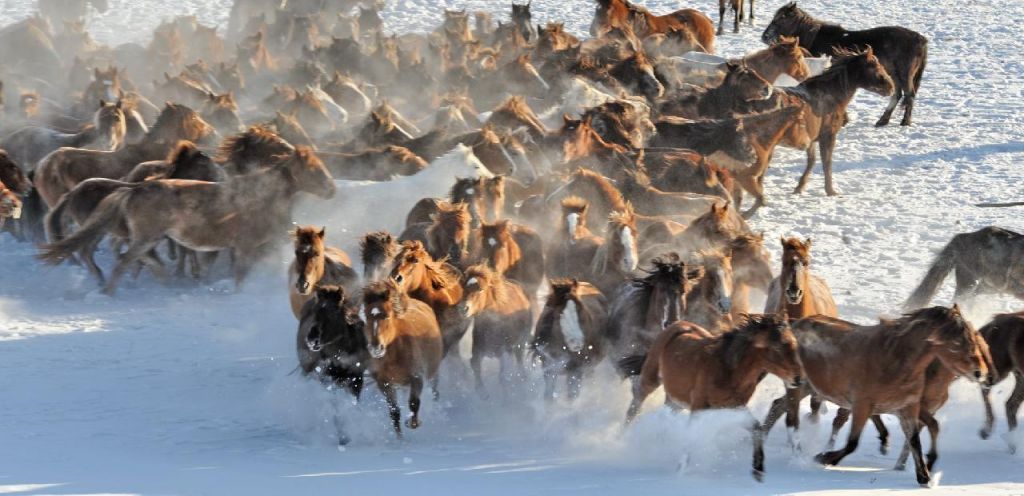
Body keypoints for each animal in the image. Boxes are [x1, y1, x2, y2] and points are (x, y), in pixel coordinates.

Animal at [37, 148, 335, 294]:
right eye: (313, 169)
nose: (332, 189)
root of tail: (133, 190)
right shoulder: (245, 247)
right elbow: (240, 275)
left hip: (147, 239)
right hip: (145, 238)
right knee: (123, 261)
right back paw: (109, 291)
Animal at [361, 280, 443, 438]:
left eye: (386, 316)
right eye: (367, 317)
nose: (376, 348)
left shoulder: (417, 378)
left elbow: (414, 403)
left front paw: (412, 423)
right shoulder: (385, 384)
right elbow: (394, 412)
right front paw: (400, 438)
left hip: (433, 371)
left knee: (435, 391)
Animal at [457, 264, 533, 394]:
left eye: (481, 289)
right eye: (464, 289)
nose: (463, 309)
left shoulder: (506, 351)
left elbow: (503, 376)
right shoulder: (477, 351)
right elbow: (476, 369)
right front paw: (482, 392)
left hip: (520, 343)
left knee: (519, 361)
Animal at [622, 313, 802, 481]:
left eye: (794, 345)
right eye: (777, 348)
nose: (798, 379)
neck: (728, 371)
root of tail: (675, 325)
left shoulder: (736, 408)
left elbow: (757, 428)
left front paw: (758, 471)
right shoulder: (699, 407)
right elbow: (691, 436)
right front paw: (680, 470)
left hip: (676, 400)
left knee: (664, 413)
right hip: (650, 380)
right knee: (634, 406)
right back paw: (623, 438)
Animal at [762, 2, 927, 126]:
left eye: (781, 18)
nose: (765, 37)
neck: (814, 37)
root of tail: (921, 39)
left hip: (904, 74)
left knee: (909, 95)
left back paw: (905, 122)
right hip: (894, 74)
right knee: (897, 94)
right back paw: (883, 121)